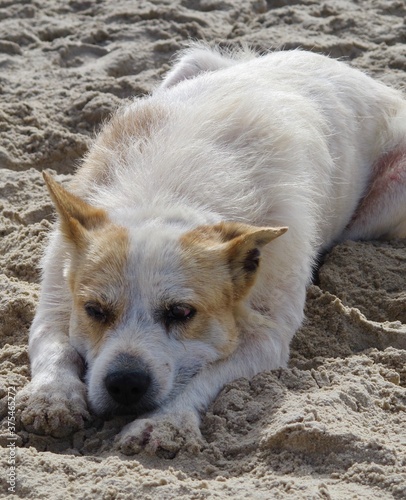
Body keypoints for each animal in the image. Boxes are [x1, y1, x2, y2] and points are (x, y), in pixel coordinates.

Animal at [19, 45, 406, 456]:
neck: (164, 196)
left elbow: (202, 377)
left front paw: (166, 421)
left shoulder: (267, 338)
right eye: (94, 311)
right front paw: (52, 396)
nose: (125, 383)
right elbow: (55, 345)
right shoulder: (55, 295)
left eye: (181, 313)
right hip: (191, 63)